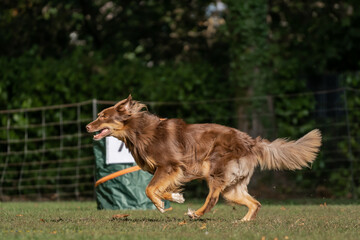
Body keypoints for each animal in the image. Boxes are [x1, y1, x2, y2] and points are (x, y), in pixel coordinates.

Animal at [86, 95, 320, 221]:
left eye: (103, 116)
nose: (87, 127)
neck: (139, 130)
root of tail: (251, 142)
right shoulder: (173, 171)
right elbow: (162, 189)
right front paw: (175, 198)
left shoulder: (169, 166)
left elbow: (150, 189)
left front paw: (161, 205)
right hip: (232, 187)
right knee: (255, 203)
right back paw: (243, 222)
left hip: (215, 171)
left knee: (212, 199)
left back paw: (196, 215)